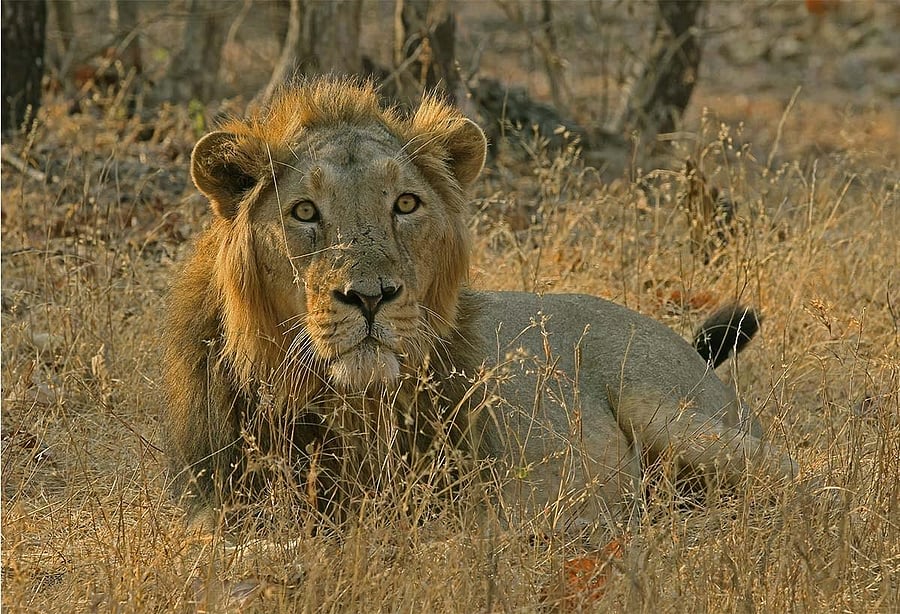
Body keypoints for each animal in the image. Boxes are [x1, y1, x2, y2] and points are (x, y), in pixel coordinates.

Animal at [163, 77, 797, 536]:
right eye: (303, 212)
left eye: (406, 204)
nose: (370, 298)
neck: (346, 402)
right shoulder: (206, 503)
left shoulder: (460, 505)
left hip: (677, 418)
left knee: (795, 473)